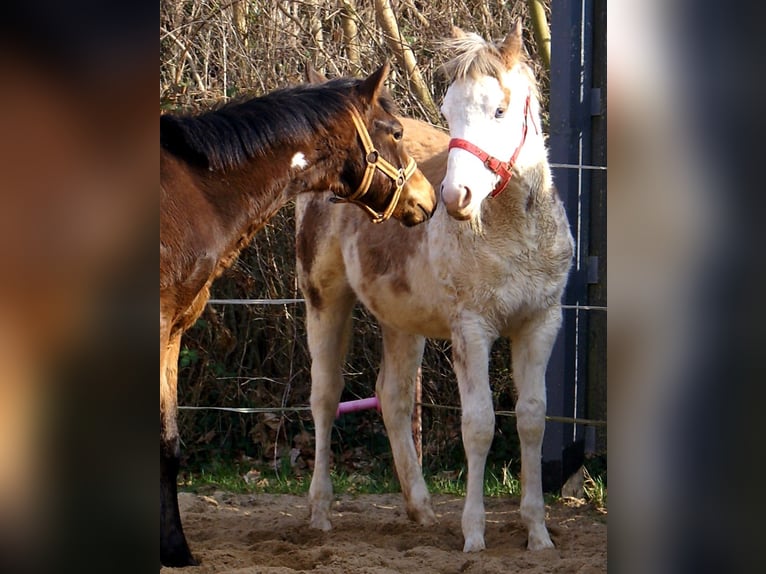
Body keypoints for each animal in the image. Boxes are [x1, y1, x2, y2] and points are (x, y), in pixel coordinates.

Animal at [160, 64, 437, 567]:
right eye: (395, 131)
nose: (426, 199)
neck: (193, 194)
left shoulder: (173, 332)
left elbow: (169, 443)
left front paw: (175, 550)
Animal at [296, 22, 573, 553]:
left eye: (500, 109)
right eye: (448, 111)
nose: (454, 197)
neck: (516, 231)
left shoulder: (540, 324)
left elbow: (531, 419)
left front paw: (538, 532)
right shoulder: (473, 330)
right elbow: (480, 425)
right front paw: (474, 534)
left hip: (402, 320)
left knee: (394, 397)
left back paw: (421, 508)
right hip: (325, 301)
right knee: (324, 398)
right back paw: (319, 512)